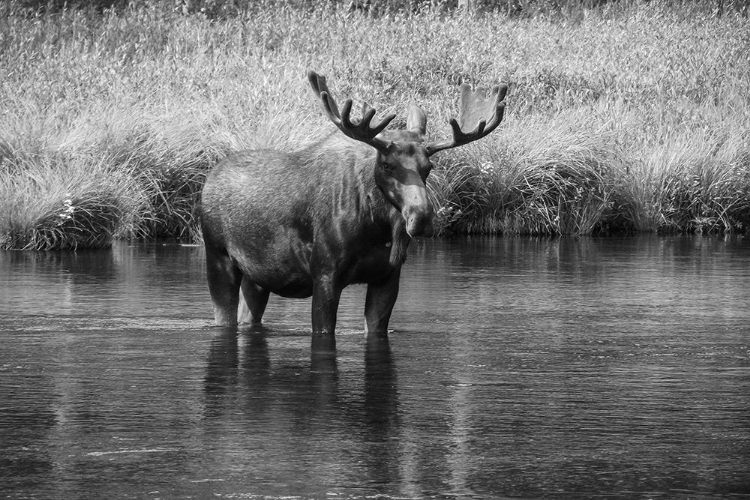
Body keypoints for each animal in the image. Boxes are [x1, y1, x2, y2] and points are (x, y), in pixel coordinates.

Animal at [200, 70, 508, 346]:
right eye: (387, 164)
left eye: (428, 167)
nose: (421, 218)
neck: (375, 228)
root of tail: (209, 180)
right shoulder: (324, 274)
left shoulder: (388, 277)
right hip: (218, 257)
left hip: (257, 277)